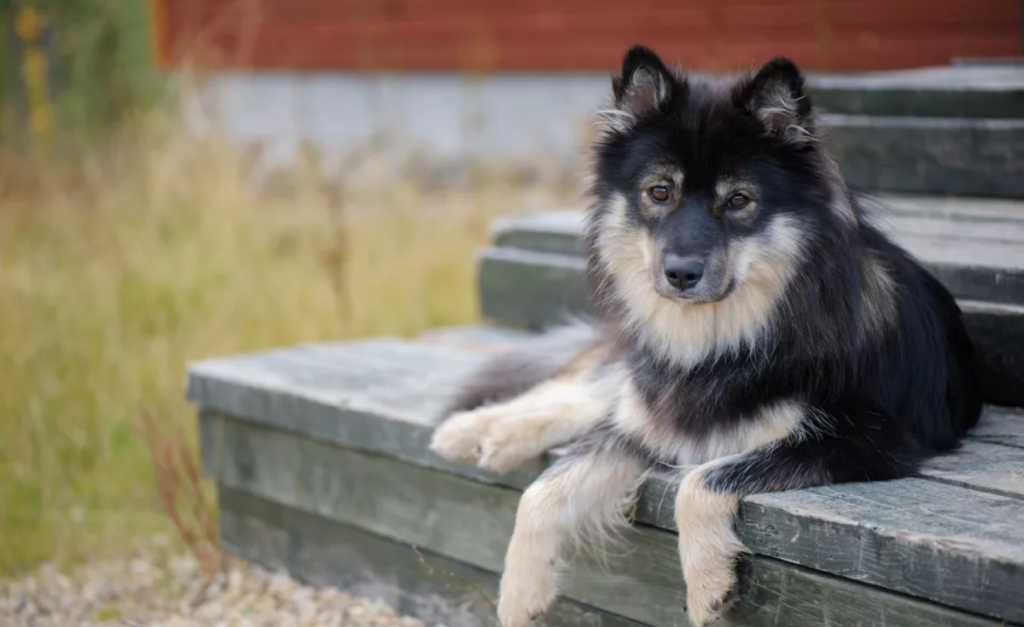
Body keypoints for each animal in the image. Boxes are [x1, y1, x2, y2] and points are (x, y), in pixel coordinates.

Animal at [428, 45, 978, 627]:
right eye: (659, 192)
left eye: (737, 200)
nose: (680, 273)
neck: (723, 339)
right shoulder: (650, 421)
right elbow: (544, 489)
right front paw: (518, 591)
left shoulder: (867, 439)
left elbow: (700, 479)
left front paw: (708, 583)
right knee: (576, 389)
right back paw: (474, 429)